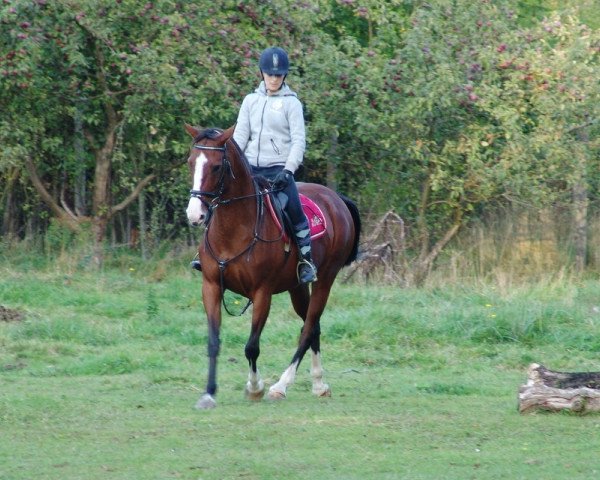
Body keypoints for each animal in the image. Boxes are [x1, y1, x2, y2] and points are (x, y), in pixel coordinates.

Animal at [184, 124, 360, 408]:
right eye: (191, 162)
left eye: (217, 167)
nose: (195, 215)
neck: (234, 230)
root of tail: (336, 199)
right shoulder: (210, 286)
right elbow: (213, 342)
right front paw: (209, 393)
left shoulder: (262, 293)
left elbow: (251, 346)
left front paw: (255, 387)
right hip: (297, 288)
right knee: (313, 328)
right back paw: (318, 384)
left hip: (325, 280)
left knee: (308, 328)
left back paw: (281, 385)